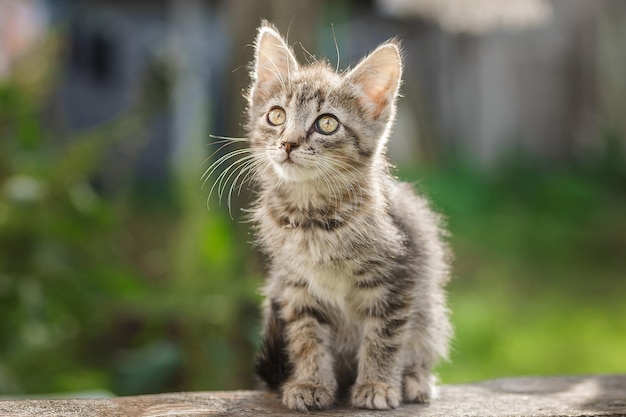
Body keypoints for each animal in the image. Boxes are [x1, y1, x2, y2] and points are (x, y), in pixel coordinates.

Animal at [241, 22, 450, 410]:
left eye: (327, 124)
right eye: (276, 116)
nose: (288, 143)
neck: (313, 219)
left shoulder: (399, 279)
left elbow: (384, 337)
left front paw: (377, 385)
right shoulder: (296, 286)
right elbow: (307, 337)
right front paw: (310, 383)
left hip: (430, 314)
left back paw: (414, 380)